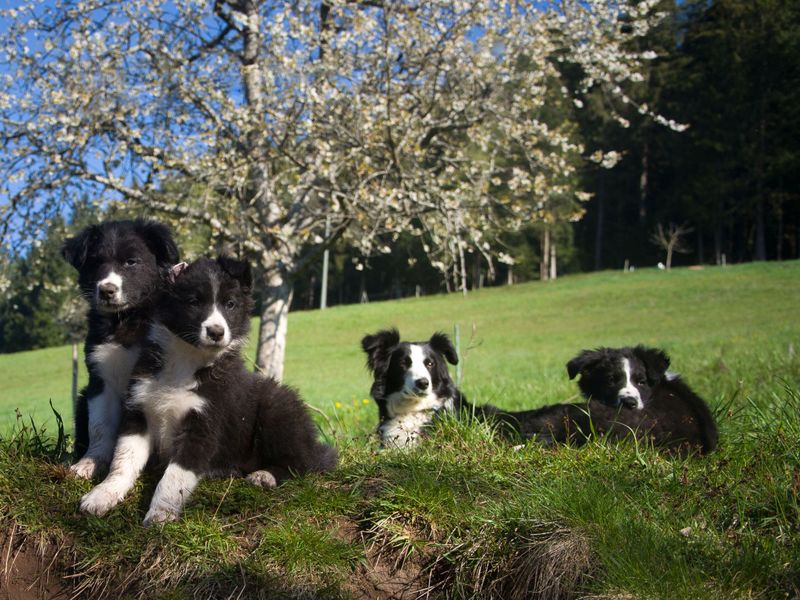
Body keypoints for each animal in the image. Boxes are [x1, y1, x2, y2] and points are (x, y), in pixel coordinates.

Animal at [61, 220, 180, 478]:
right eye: (96, 263)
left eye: (131, 262)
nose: (107, 290)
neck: (125, 319)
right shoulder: (100, 378)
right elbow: (99, 427)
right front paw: (89, 464)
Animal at [83, 256, 338, 524]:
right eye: (194, 302)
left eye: (230, 304)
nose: (216, 332)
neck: (187, 359)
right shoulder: (138, 410)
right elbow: (123, 461)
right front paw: (102, 495)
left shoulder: (204, 424)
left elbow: (173, 476)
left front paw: (160, 514)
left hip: (277, 409)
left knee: (301, 462)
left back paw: (265, 475)